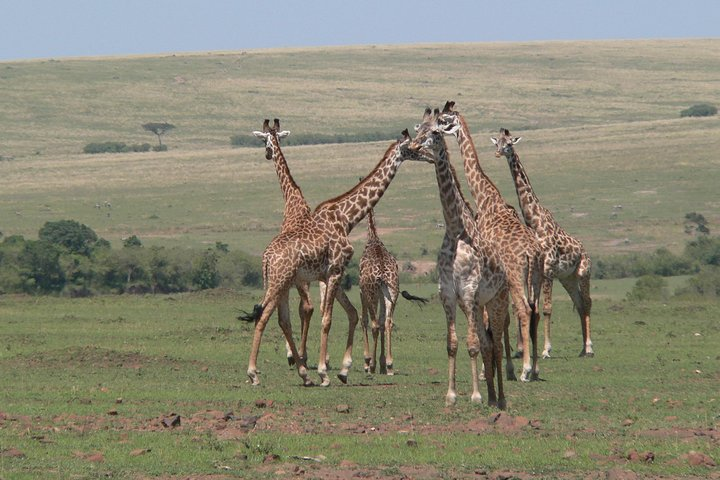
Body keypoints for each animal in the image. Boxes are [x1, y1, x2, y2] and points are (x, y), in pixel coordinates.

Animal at [358, 208, 400, 376]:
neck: (373, 237)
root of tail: (382, 272)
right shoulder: (383, 294)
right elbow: (383, 322)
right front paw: (383, 364)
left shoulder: (362, 291)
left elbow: (364, 320)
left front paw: (367, 361)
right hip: (393, 292)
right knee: (388, 322)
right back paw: (389, 365)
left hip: (371, 293)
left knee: (374, 324)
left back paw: (371, 365)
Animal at [410, 107, 512, 406]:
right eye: (419, 128)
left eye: (435, 131)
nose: (412, 147)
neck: (456, 230)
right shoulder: (448, 294)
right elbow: (453, 344)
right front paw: (452, 395)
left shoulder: (467, 292)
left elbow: (472, 344)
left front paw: (475, 396)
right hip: (478, 306)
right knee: (488, 342)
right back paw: (492, 398)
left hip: (496, 302)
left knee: (496, 343)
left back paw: (500, 399)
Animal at [436, 101, 544, 382]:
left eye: (445, 119)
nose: (430, 127)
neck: (484, 197)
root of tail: (533, 254)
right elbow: (499, 319)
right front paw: (502, 367)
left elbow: (488, 317)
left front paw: (491, 370)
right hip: (538, 278)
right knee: (535, 311)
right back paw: (535, 367)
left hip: (517, 277)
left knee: (523, 310)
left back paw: (525, 370)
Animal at [492, 129, 592, 358]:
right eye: (497, 142)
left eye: (509, 143)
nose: (498, 152)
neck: (534, 221)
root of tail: (585, 251)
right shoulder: (538, 272)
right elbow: (531, 306)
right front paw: (527, 348)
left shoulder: (547, 269)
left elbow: (546, 308)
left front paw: (546, 350)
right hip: (567, 278)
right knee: (579, 304)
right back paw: (582, 349)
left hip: (583, 273)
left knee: (587, 303)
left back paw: (590, 347)